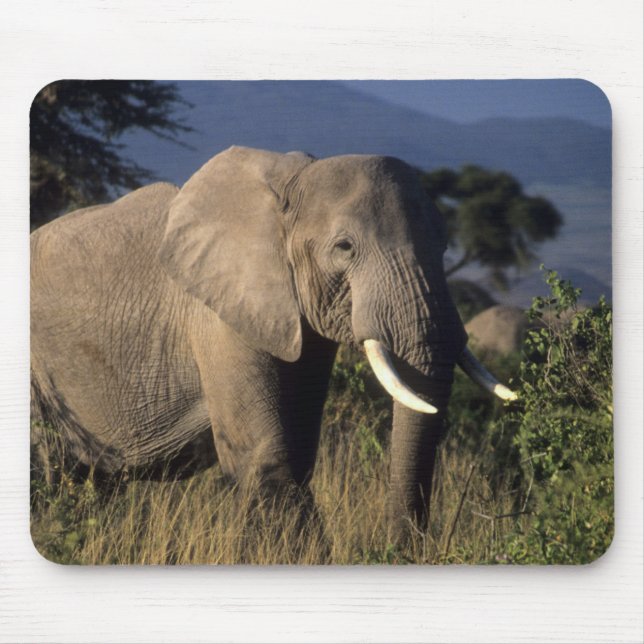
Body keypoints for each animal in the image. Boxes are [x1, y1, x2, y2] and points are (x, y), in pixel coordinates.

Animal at [31, 146, 515, 540]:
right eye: (344, 247)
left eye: (446, 244)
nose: (399, 550)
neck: (290, 183)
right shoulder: (219, 319)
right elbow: (267, 461)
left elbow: (297, 455)